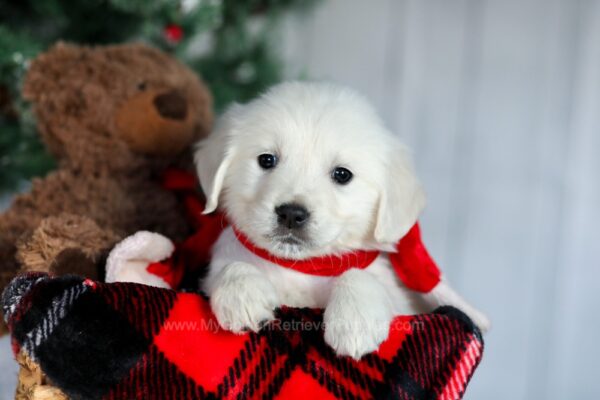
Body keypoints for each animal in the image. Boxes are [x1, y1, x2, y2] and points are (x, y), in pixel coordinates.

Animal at [195, 82, 490, 360]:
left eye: (342, 174)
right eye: (267, 160)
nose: (291, 214)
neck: (303, 267)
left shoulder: (402, 302)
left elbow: (358, 274)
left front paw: (354, 321)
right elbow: (231, 265)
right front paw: (241, 293)